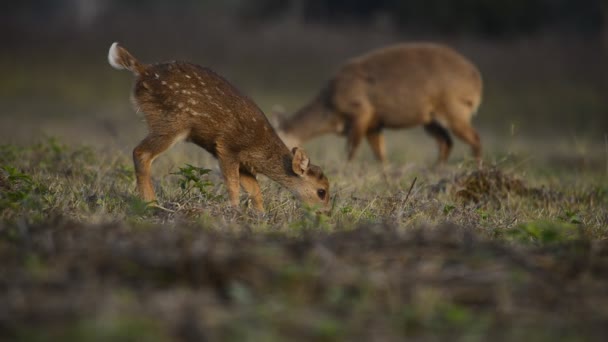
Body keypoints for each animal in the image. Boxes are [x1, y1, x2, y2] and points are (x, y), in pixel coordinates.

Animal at [108, 42, 328, 211]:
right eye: (322, 192)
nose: (324, 214)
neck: (259, 148)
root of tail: (142, 70)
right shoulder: (227, 147)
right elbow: (233, 185)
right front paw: (234, 210)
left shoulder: (245, 163)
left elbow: (255, 190)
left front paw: (259, 214)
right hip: (170, 121)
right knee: (141, 153)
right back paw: (152, 205)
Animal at [276, 42, 484, 166]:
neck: (330, 107)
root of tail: (477, 81)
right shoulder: (374, 125)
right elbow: (381, 155)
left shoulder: (361, 111)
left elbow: (351, 149)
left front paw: (347, 170)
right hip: (430, 118)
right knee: (446, 142)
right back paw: (436, 169)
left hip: (454, 107)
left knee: (474, 138)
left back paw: (475, 167)